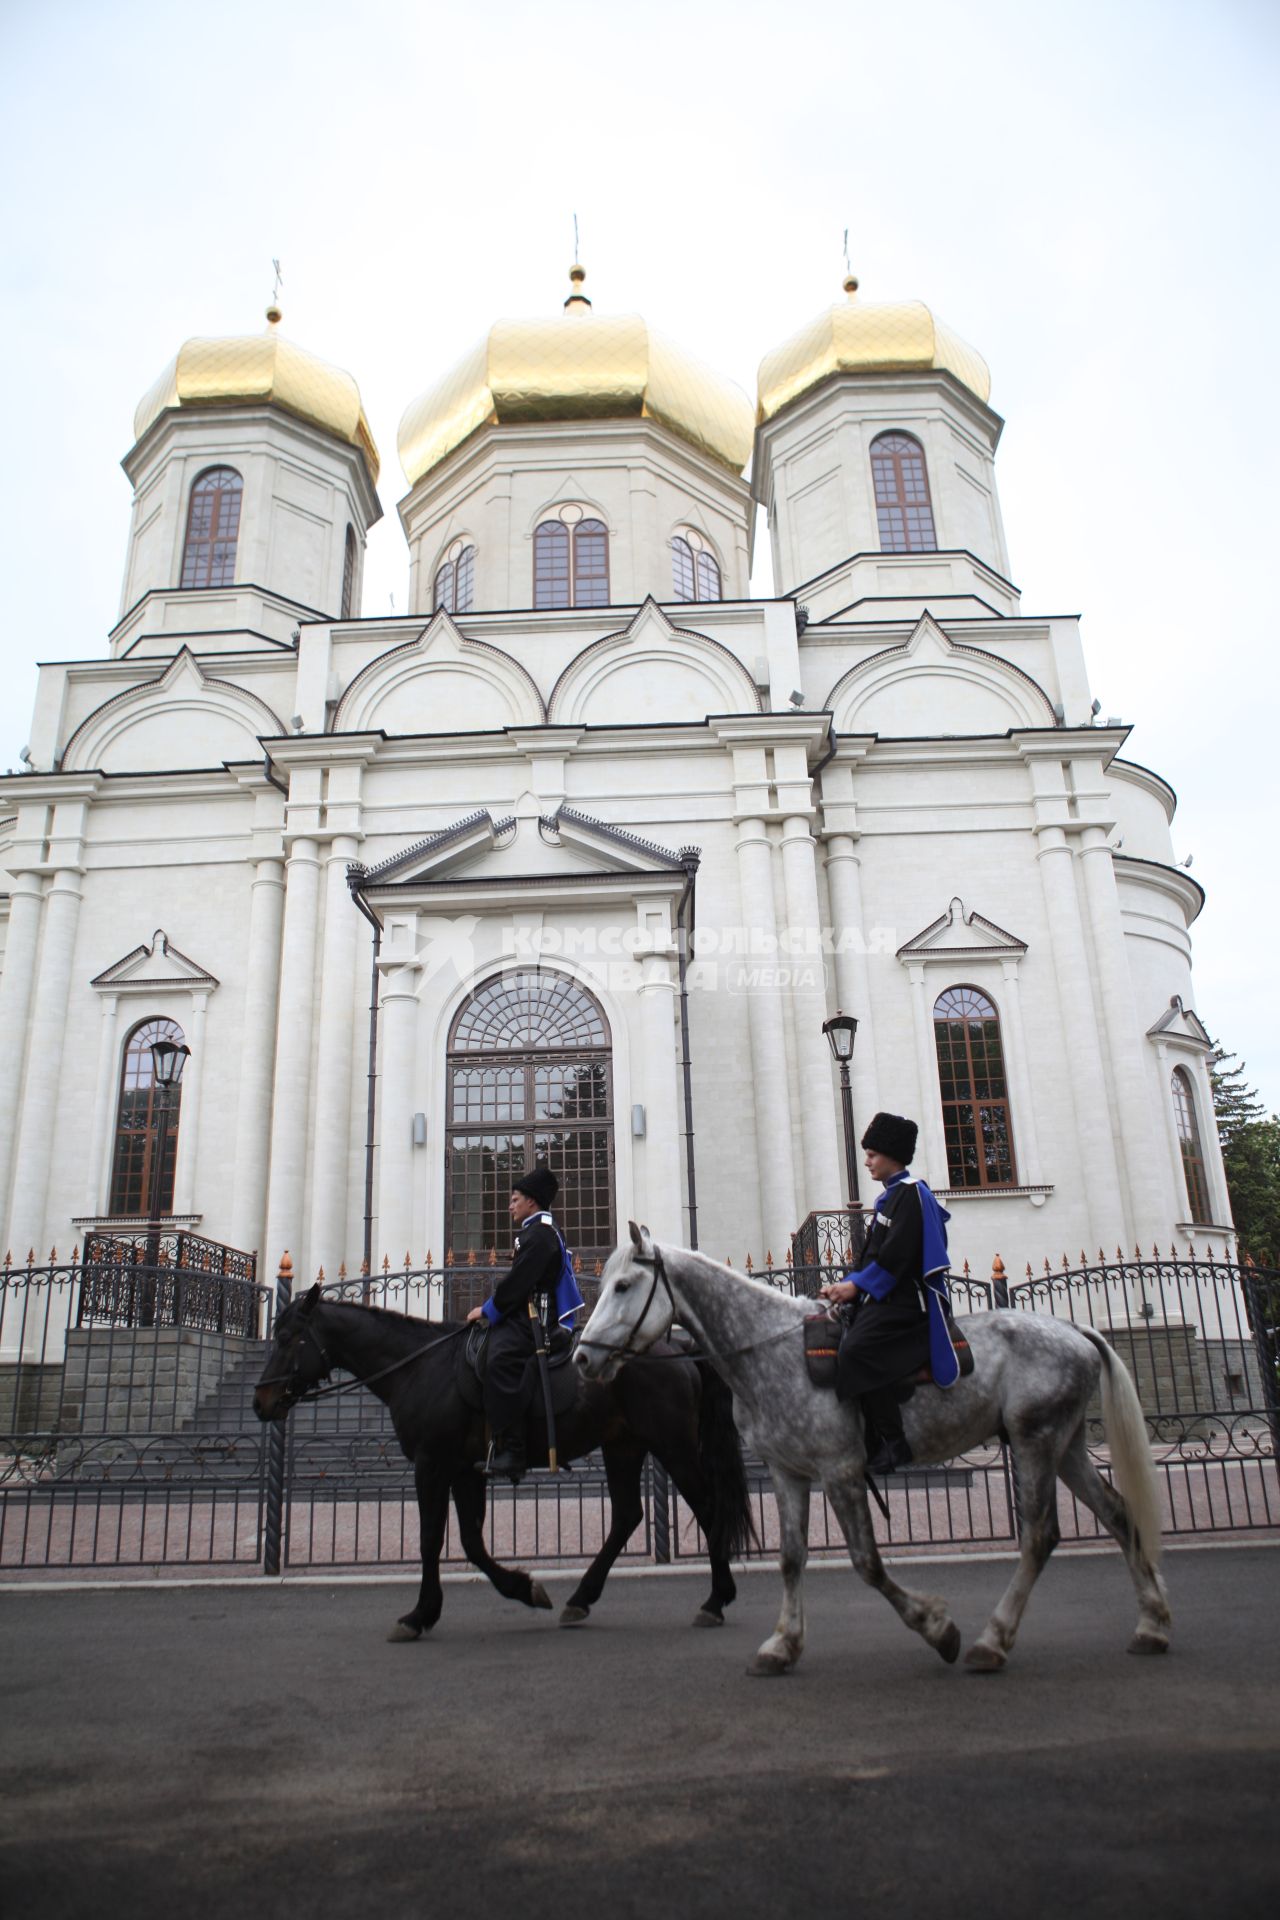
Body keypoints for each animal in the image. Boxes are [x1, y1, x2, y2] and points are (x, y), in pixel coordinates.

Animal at [251, 1282, 756, 1643]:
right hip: (624, 1446)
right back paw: (581, 1597)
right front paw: (523, 1589)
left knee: (707, 1508)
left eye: (289, 1338)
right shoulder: (464, 1468)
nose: (260, 1402)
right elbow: (471, 1542)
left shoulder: (432, 1463)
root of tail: (679, 1348)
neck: (421, 1366)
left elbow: (432, 1539)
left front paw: (418, 1615)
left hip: (672, 1445)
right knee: (629, 1514)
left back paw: (716, 1600)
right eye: (274, 1335)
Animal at [579, 1221, 1174, 1674]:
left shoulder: (841, 1469)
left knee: (1040, 1536)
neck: (770, 1348)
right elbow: (791, 1558)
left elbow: (867, 1562)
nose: (583, 1357)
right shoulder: (787, 1471)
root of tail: (1078, 1332)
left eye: (625, 1285)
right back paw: (1151, 1625)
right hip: (1064, 1445)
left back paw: (991, 1641)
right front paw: (782, 1645)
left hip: (1035, 1441)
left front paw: (937, 1628)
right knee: (1119, 1516)